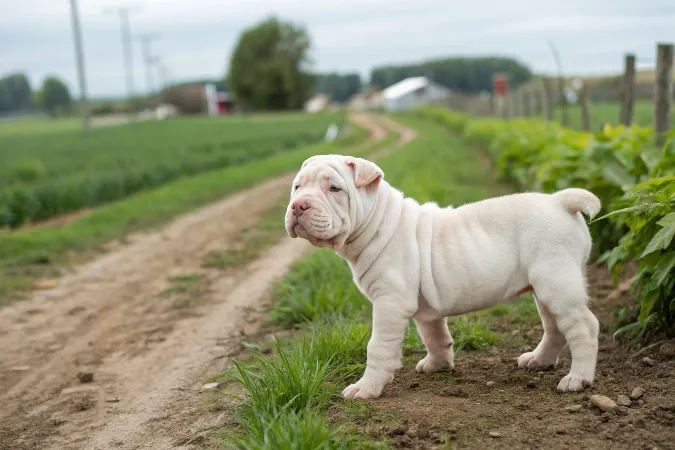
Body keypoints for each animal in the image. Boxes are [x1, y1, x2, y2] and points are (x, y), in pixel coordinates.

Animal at [286, 156, 604, 400]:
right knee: (554, 327)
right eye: (297, 187)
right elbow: (434, 335)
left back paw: (577, 379)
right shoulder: (423, 306)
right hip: (545, 288)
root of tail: (560, 202)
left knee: (584, 327)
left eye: (335, 188)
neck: (378, 223)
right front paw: (438, 365)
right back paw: (539, 361)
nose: (298, 205)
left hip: (557, 283)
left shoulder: (389, 303)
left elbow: (377, 347)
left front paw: (366, 389)